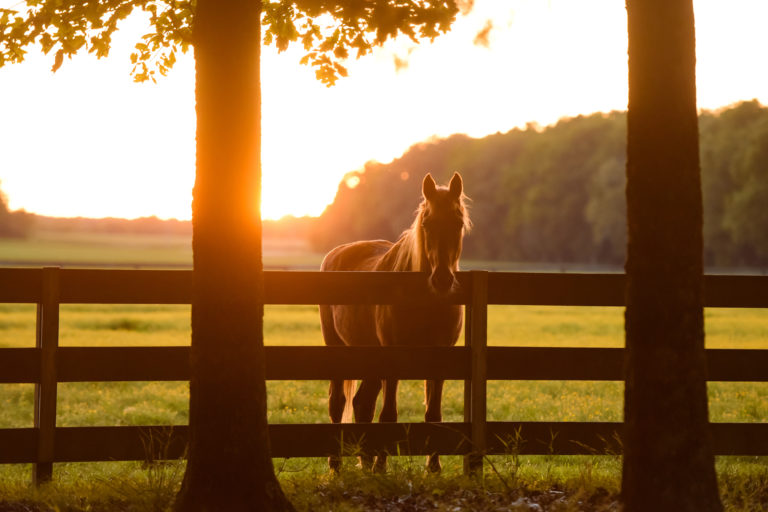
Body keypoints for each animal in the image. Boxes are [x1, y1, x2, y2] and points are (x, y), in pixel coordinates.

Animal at [316, 172, 468, 472]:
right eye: (427, 224)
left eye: (458, 223)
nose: (442, 280)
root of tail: (335, 253)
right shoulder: (393, 358)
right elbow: (388, 414)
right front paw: (382, 466)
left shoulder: (440, 359)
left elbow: (433, 413)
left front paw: (433, 467)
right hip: (337, 348)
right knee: (338, 402)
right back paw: (338, 465)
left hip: (369, 356)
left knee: (362, 403)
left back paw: (365, 462)